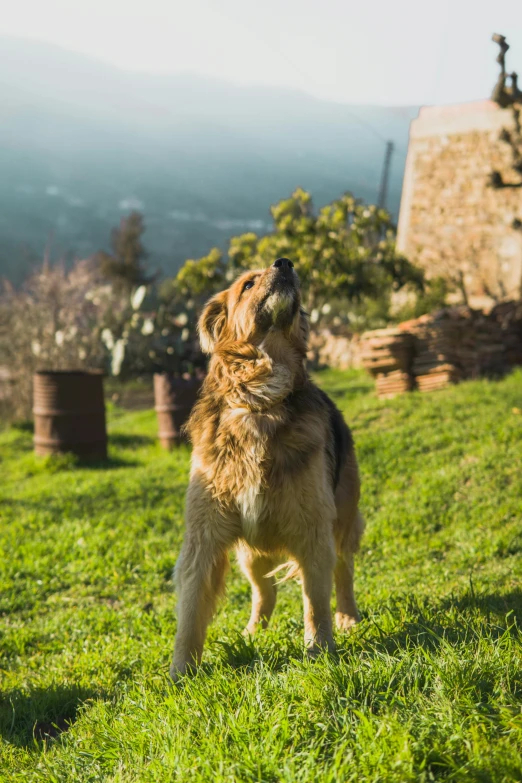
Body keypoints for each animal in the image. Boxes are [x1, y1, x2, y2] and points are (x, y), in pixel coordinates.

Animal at [171, 258, 362, 680]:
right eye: (247, 284)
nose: (285, 262)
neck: (259, 402)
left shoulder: (313, 529)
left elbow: (315, 604)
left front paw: (320, 651)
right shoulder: (204, 536)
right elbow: (191, 611)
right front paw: (180, 672)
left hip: (342, 519)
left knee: (343, 571)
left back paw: (349, 617)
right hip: (251, 552)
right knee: (264, 590)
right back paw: (253, 631)